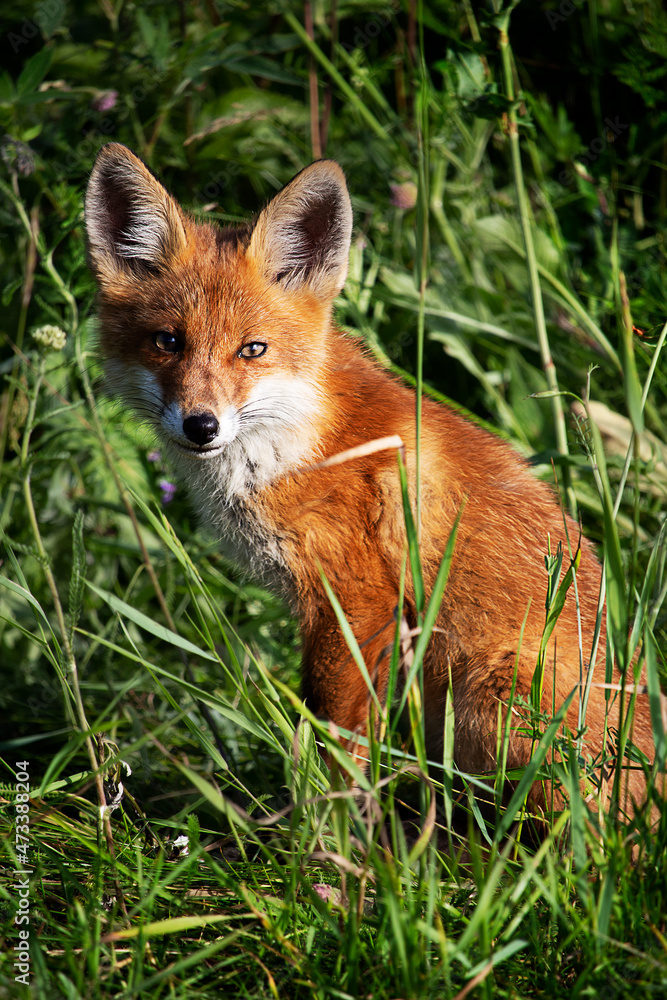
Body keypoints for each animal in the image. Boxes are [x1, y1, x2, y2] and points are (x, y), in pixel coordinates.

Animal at [86, 142, 656, 822]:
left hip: (491, 691)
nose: (202, 425)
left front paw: (327, 830)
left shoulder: (358, 600)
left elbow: (337, 740)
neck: (305, 440)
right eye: (167, 342)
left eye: (253, 350)